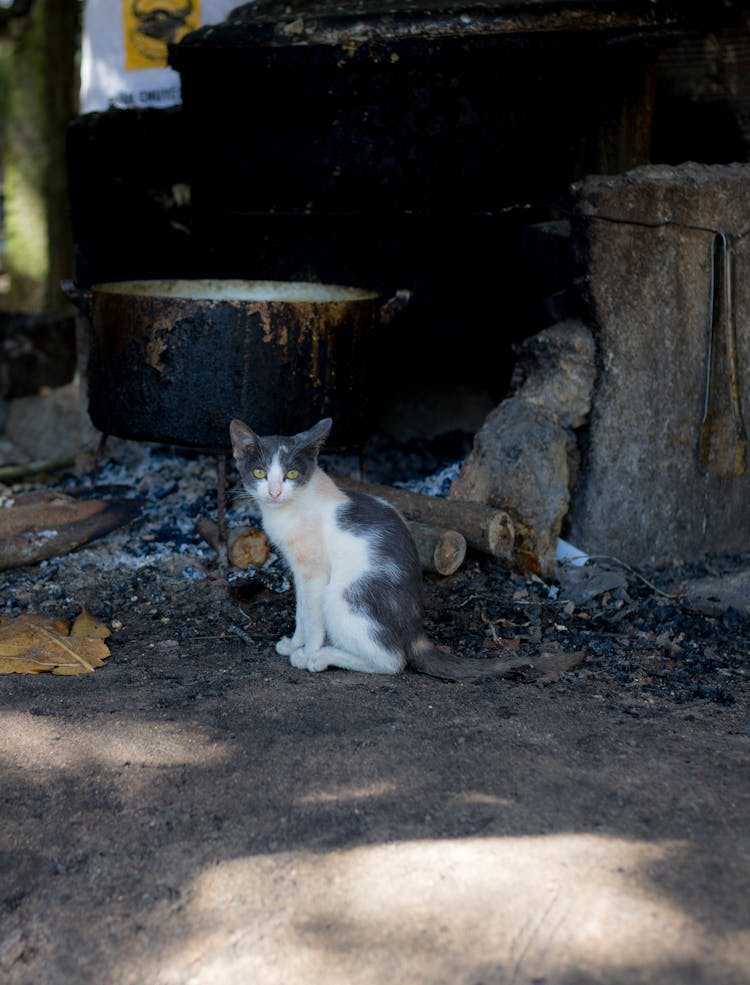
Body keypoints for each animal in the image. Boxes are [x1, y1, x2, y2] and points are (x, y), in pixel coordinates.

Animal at [228, 414, 494, 676]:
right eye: (259, 472)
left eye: (291, 474)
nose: (274, 493)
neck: (292, 506)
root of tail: (416, 630)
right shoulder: (299, 571)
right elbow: (301, 611)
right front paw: (294, 643)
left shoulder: (314, 573)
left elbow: (312, 619)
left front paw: (307, 653)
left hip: (341, 595)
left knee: (392, 661)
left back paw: (323, 657)